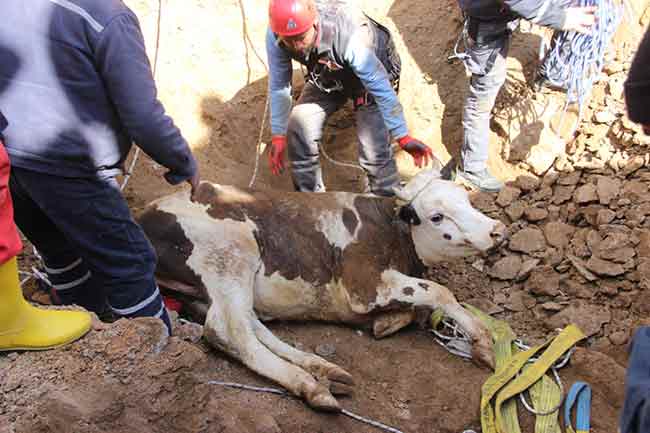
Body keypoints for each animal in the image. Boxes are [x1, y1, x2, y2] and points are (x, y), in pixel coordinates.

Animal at [137, 167, 506, 410]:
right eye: (437, 216)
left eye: (467, 200)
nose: (497, 230)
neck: (393, 232)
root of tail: (147, 214)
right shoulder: (364, 287)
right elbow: (439, 292)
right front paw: (482, 342)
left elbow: (418, 308)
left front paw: (388, 321)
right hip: (231, 253)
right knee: (229, 331)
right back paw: (309, 385)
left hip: (217, 284)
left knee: (250, 325)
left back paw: (323, 369)